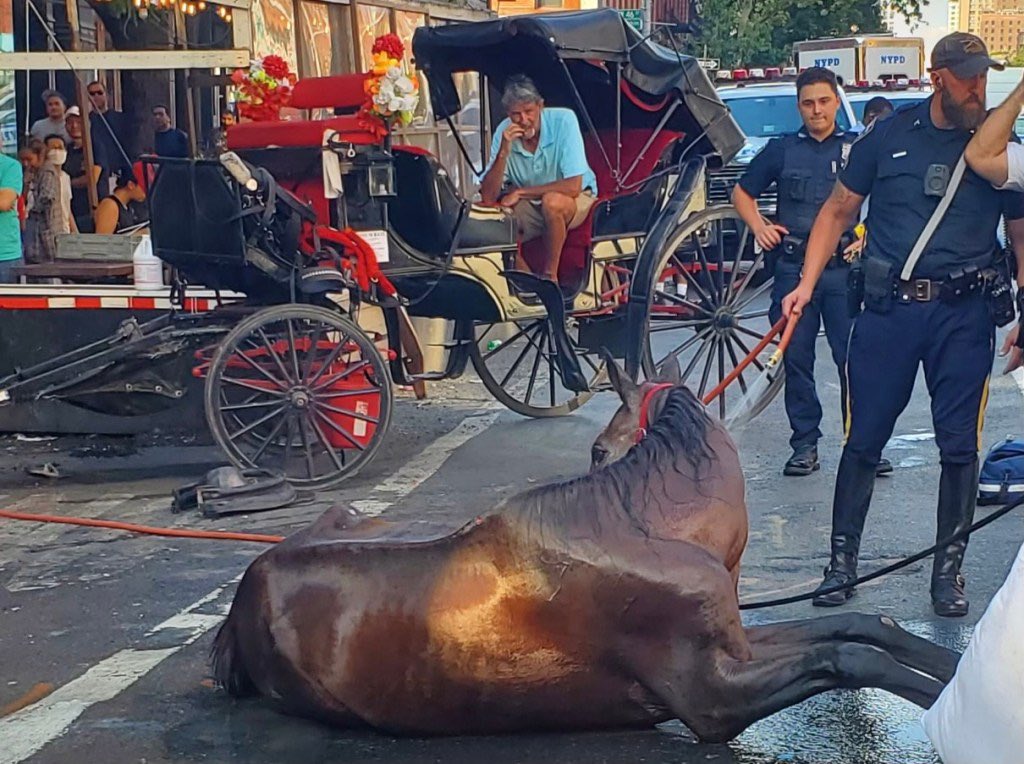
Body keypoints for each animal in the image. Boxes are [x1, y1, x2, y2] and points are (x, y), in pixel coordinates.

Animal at [212, 355, 958, 740]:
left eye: (602, 449)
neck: (649, 529)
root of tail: (246, 588)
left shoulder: (739, 646)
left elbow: (863, 623)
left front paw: (954, 668)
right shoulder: (709, 697)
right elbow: (848, 657)